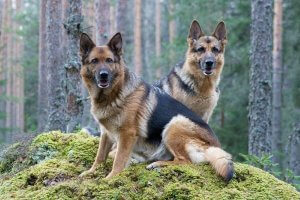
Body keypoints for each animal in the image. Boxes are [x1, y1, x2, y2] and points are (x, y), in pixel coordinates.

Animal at [78, 32, 233, 181]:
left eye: (109, 60)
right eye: (94, 61)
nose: (103, 75)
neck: (114, 94)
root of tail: (214, 146)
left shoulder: (126, 135)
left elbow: (118, 160)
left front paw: (110, 178)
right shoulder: (106, 133)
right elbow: (100, 156)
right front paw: (91, 172)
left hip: (174, 124)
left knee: (185, 161)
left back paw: (157, 164)